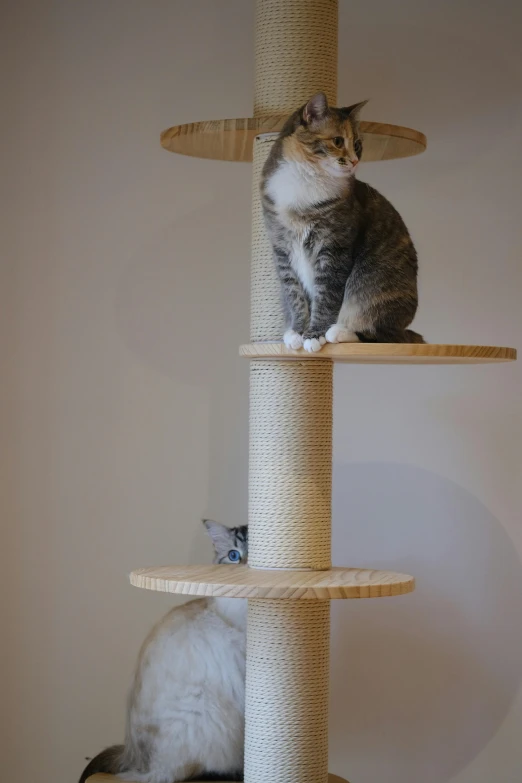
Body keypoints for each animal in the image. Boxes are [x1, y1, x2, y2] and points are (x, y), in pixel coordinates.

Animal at [260, 89, 422, 356]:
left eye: (357, 145)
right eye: (337, 141)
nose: (355, 160)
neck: (306, 181)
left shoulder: (334, 248)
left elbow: (326, 296)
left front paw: (314, 335)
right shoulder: (282, 250)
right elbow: (294, 295)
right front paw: (297, 332)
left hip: (370, 286)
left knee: (381, 334)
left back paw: (338, 331)